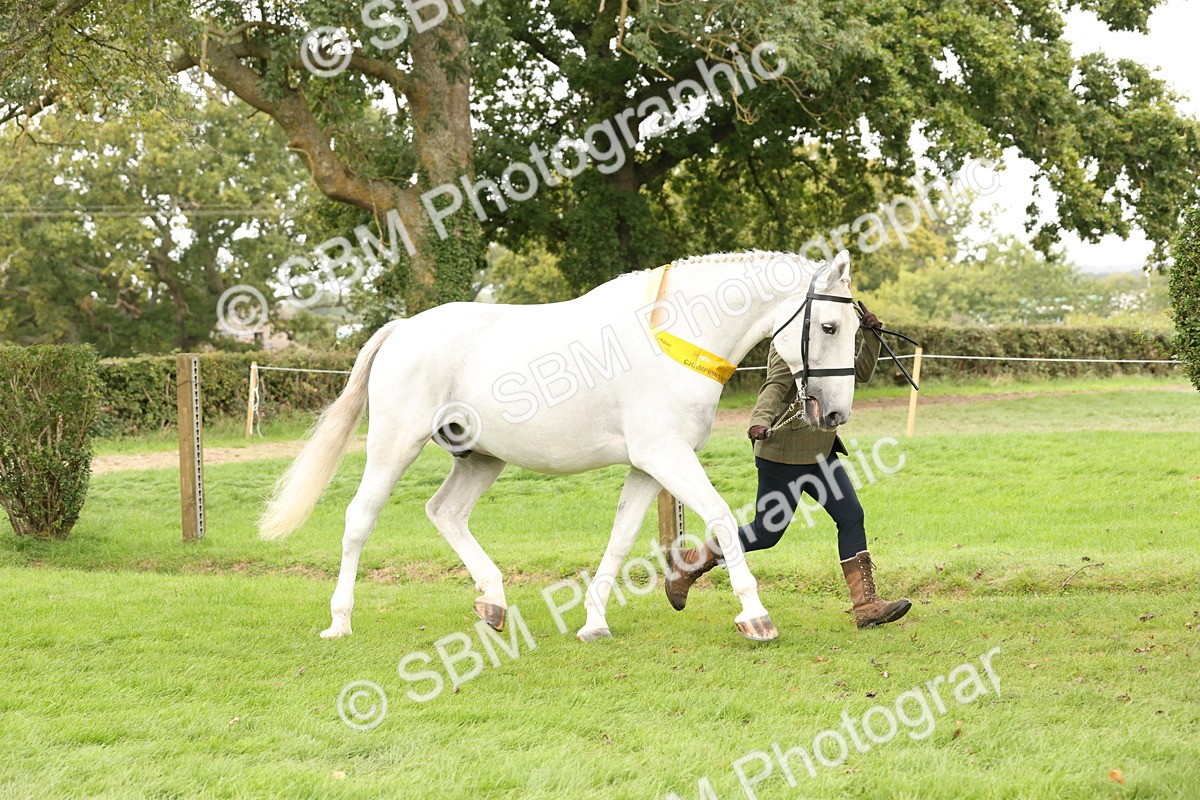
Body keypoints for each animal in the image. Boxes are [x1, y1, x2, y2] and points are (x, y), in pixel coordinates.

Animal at [259, 249, 861, 643]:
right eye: (829, 326)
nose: (835, 413)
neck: (675, 338)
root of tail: (403, 329)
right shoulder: (666, 456)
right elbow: (717, 517)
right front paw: (755, 616)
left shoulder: (649, 465)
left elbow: (620, 537)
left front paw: (594, 622)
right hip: (393, 445)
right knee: (359, 520)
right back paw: (340, 621)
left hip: (481, 458)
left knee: (445, 511)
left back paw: (493, 603)